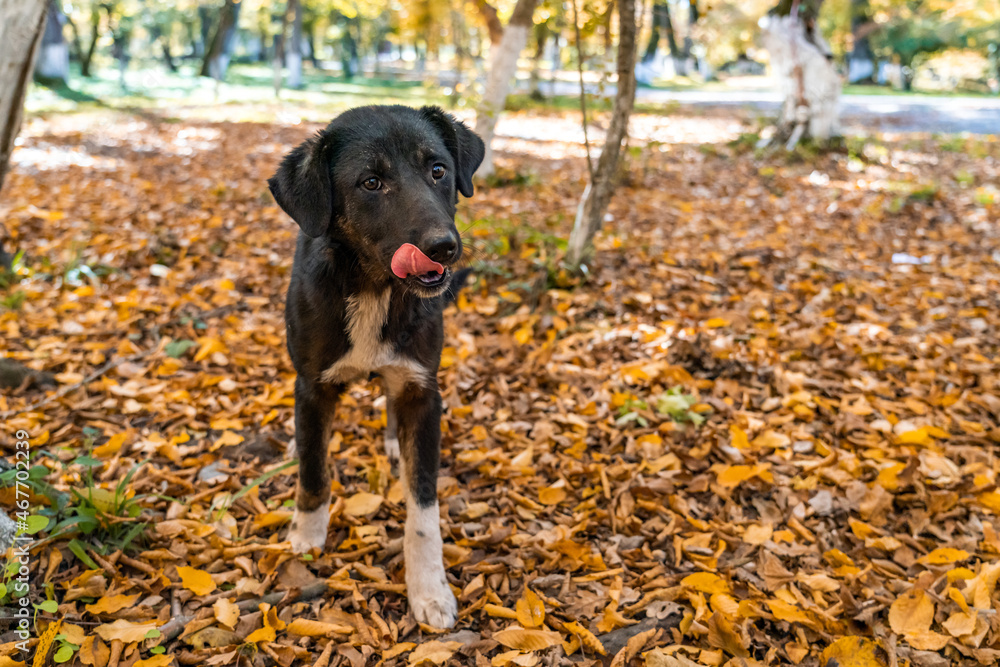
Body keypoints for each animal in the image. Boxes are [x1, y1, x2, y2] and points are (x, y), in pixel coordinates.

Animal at [266, 107, 484, 628]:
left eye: (438, 170)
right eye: (371, 182)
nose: (444, 247)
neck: (373, 289)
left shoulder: (422, 392)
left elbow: (424, 509)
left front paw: (429, 589)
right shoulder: (312, 388)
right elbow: (313, 471)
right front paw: (306, 536)